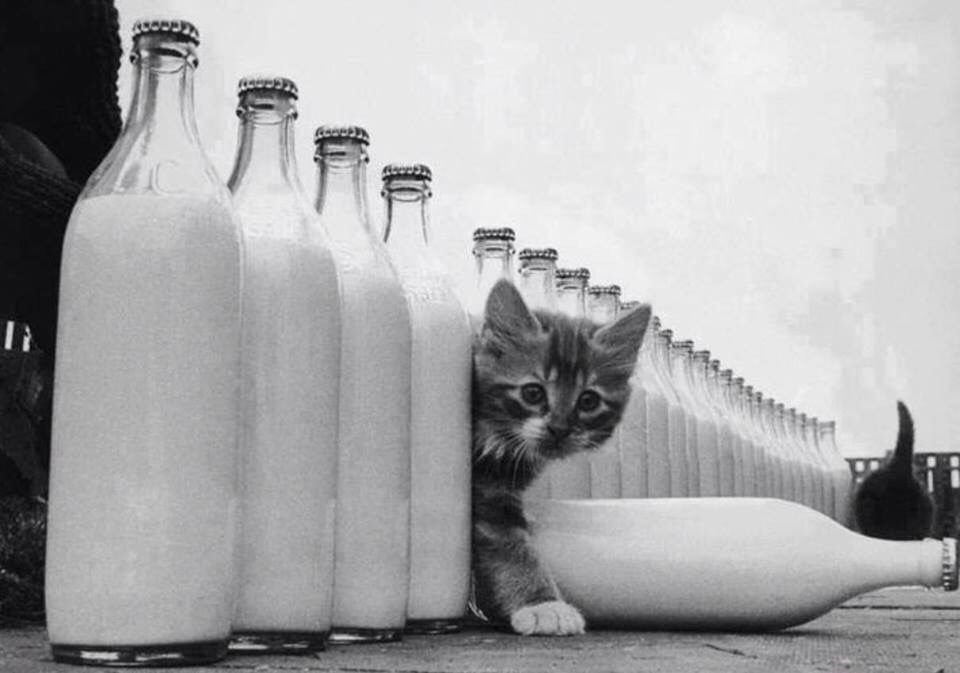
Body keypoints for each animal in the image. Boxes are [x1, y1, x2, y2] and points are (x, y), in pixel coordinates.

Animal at [471, 279, 650, 636]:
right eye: (533, 393)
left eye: (588, 401)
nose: (559, 429)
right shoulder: (485, 492)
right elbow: (512, 548)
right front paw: (543, 606)